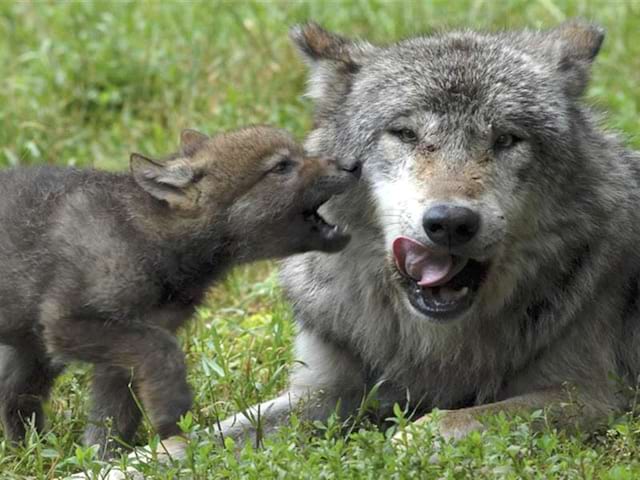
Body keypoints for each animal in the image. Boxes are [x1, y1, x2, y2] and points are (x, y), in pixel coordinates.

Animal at [0, 124, 360, 454]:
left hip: (31, 353)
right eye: (281, 166)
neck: (148, 236)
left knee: (13, 394)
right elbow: (164, 351)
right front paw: (173, 418)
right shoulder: (68, 325)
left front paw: (104, 463)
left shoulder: (118, 357)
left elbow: (110, 426)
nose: (353, 164)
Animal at [214, 19, 640, 446]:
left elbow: (445, 423)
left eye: (505, 139)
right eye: (405, 134)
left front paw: (398, 443)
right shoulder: (321, 390)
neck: (433, 345)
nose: (450, 222)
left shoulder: (587, 395)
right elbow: (213, 434)